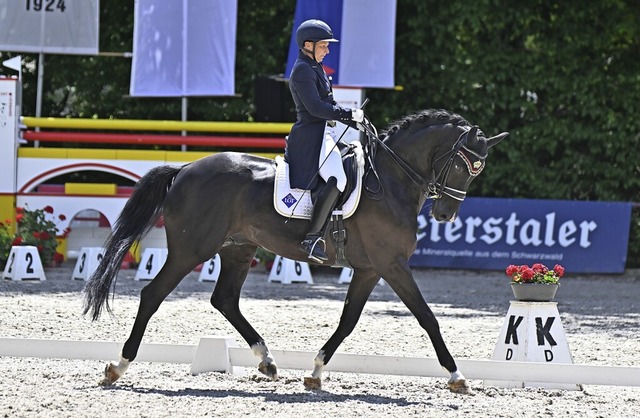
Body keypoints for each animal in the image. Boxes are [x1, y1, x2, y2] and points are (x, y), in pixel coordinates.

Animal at [85, 107, 508, 392]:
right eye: (463, 166)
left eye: (478, 171)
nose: (446, 214)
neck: (390, 182)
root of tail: (184, 169)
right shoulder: (392, 265)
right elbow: (428, 317)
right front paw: (457, 375)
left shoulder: (371, 269)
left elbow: (348, 321)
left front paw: (315, 372)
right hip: (191, 250)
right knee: (152, 295)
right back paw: (117, 367)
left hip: (238, 248)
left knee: (225, 300)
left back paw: (268, 362)